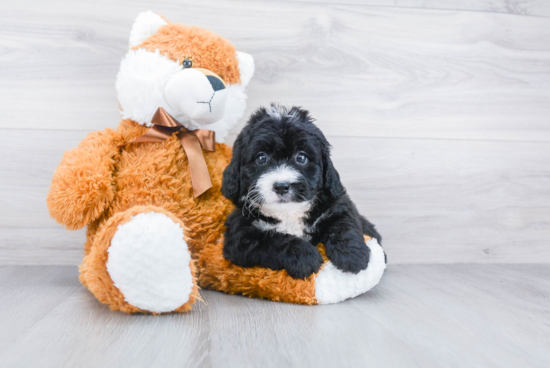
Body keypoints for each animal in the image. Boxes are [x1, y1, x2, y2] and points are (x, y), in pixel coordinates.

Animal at [221, 105, 384, 278]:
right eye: (261, 158)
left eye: (301, 157)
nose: (282, 186)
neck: (289, 212)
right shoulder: (239, 236)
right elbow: (272, 241)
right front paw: (306, 257)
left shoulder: (336, 206)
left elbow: (344, 225)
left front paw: (352, 255)